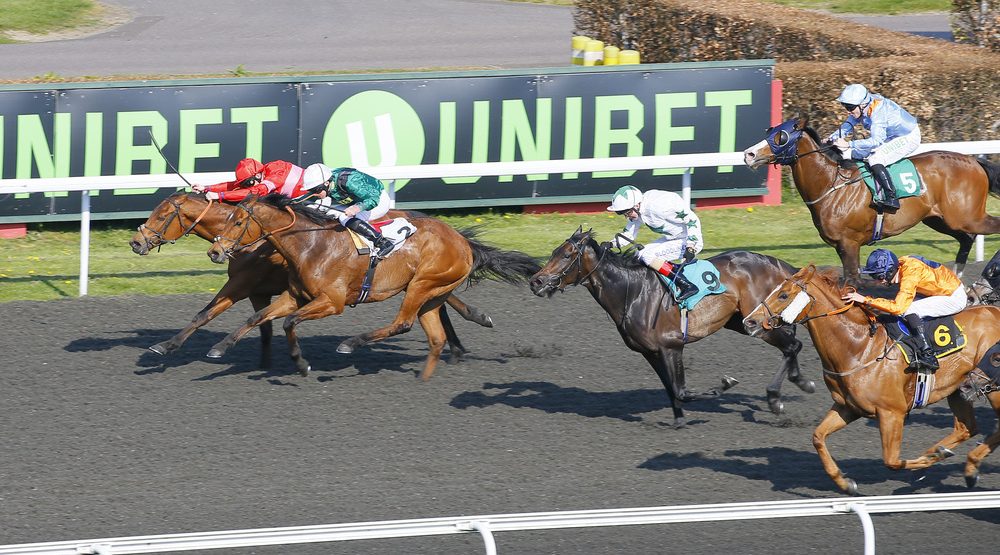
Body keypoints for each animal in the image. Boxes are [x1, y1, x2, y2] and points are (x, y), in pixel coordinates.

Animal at [204, 193, 544, 380]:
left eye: (238, 222)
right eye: (226, 219)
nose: (215, 252)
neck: (311, 244)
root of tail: (463, 242)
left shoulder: (332, 302)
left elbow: (289, 322)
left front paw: (301, 364)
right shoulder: (295, 296)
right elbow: (257, 317)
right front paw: (219, 347)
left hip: (421, 284)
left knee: (403, 323)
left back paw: (351, 343)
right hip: (432, 290)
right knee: (434, 326)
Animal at [528, 228, 816, 428]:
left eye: (566, 255)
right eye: (552, 252)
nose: (536, 281)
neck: (632, 292)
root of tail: (777, 263)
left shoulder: (672, 346)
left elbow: (682, 390)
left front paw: (723, 385)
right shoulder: (650, 352)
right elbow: (671, 388)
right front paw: (678, 420)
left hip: (759, 321)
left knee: (793, 344)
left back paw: (775, 398)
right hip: (742, 322)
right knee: (791, 343)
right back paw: (799, 381)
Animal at [744, 116, 1000, 282]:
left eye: (781, 136)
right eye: (769, 131)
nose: (749, 154)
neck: (832, 185)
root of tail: (975, 161)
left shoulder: (849, 243)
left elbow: (851, 283)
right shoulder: (841, 246)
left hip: (967, 217)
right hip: (940, 219)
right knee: (966, 239)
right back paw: (957, 274)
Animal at [744, 264, 1000, 496]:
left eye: (783, 295)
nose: (749, 321)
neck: (859, 348)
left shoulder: (892, 413)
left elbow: (892, 461)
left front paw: (931, 459)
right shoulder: (847, 407)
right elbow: (818, 437)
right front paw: (846, 484)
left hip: (992, 388)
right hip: (960, 390)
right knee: (967, 428)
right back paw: (961, 464)